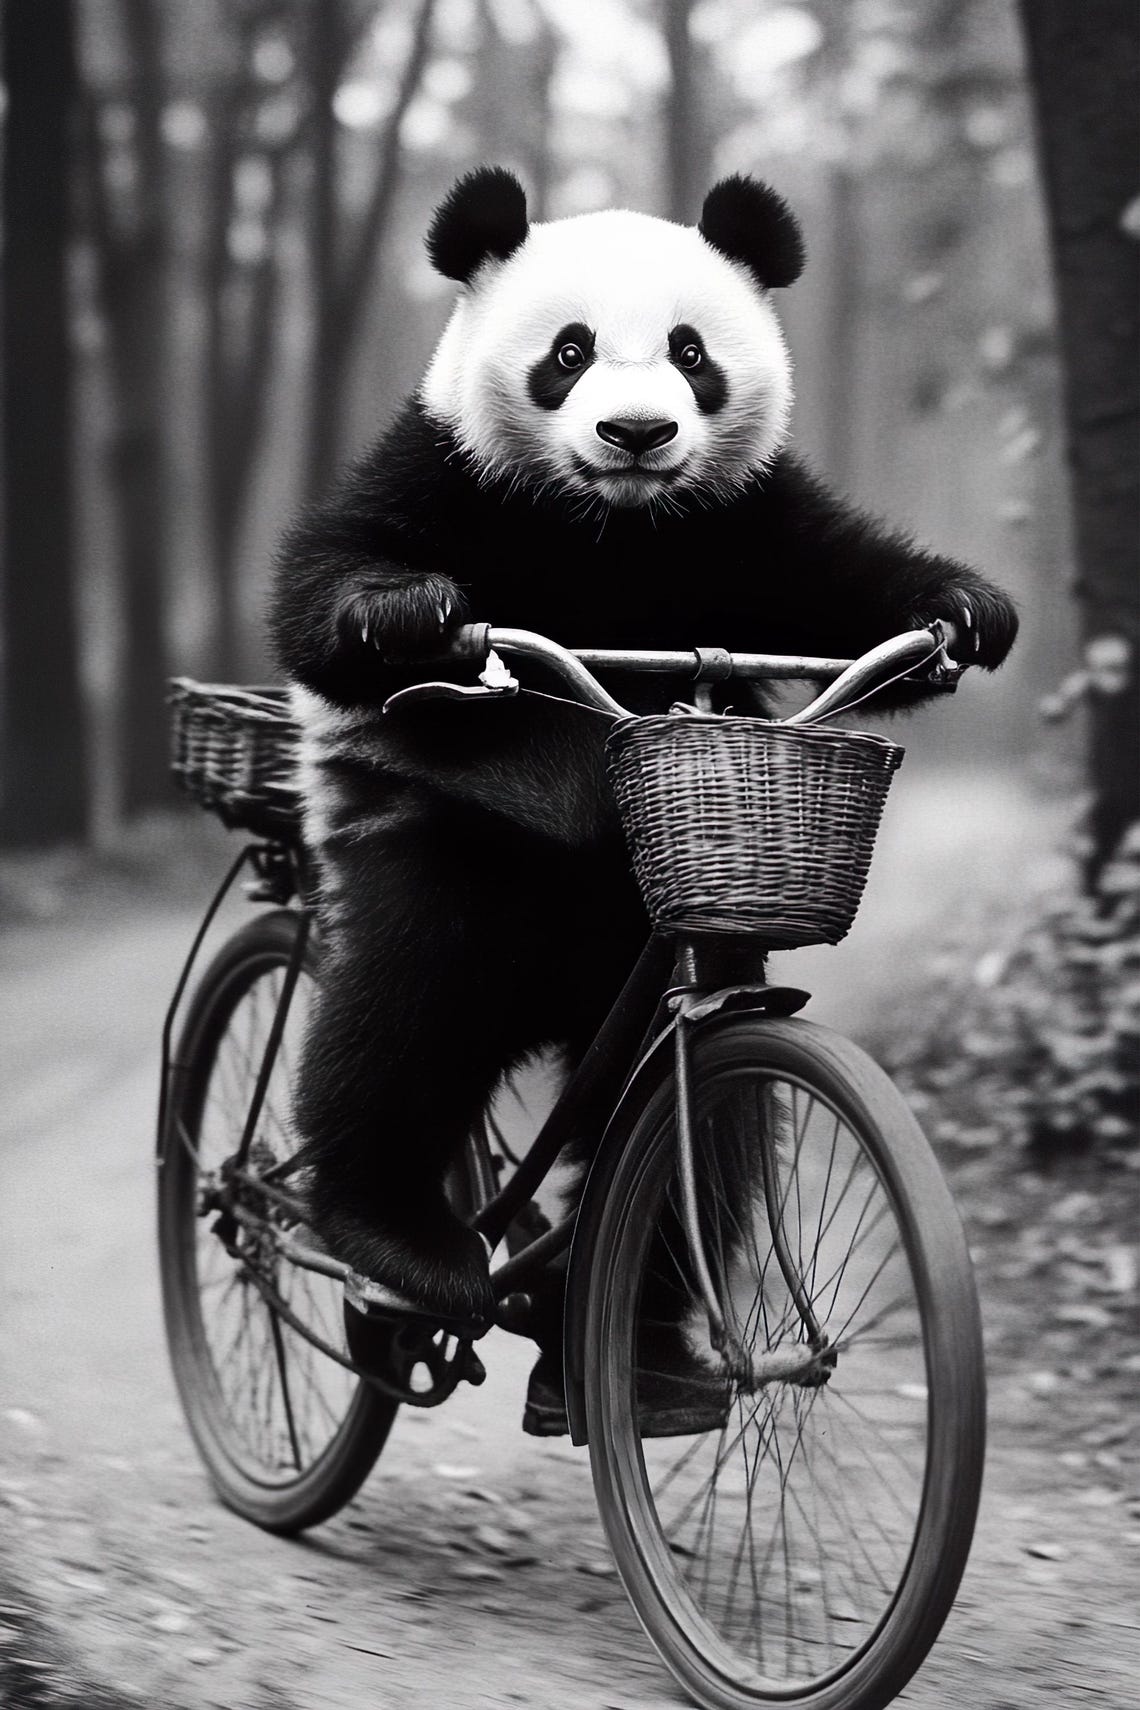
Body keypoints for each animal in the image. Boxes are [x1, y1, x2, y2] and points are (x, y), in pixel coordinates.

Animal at [270, 167, 1017, 1422]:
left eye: (691, 352)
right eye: (567, 352)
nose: (637, 433)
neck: (613, 528)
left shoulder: (752, 518)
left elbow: (847, 589)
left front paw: (965, 611)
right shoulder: (442, 468)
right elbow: (328, 587)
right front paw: (405, 612)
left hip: (636, 932)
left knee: (702, 1132)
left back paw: (652, 1344)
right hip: (446, 837)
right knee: (403, 1007)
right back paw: (399, 1245)